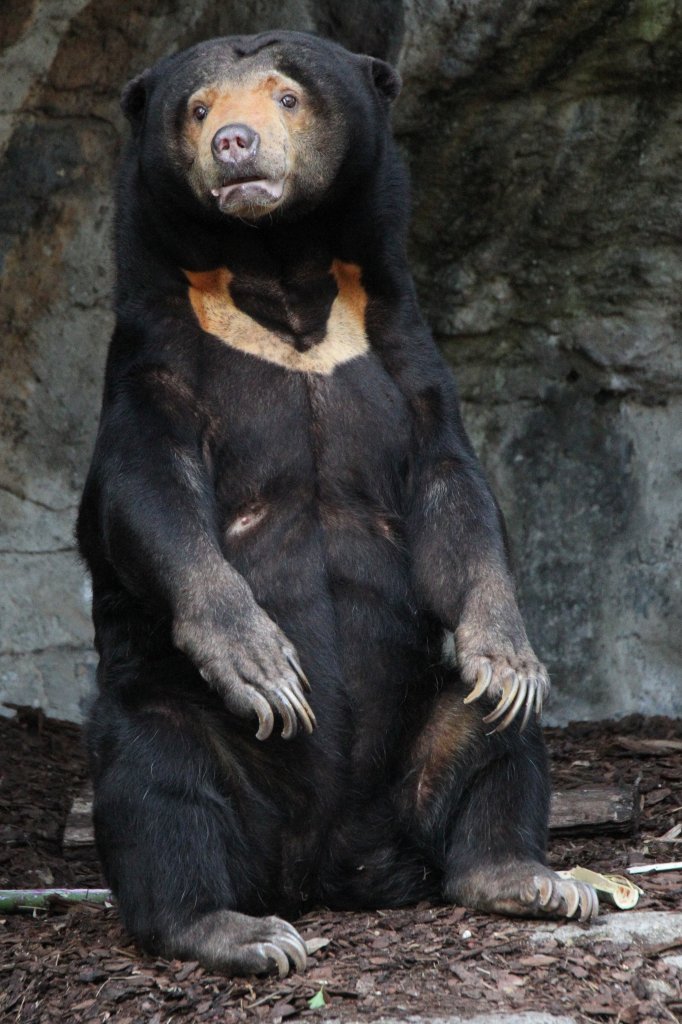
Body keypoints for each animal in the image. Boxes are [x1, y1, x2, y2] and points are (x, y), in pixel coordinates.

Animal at [75, 29, 593, 974]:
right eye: (198, 107)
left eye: (286, 96)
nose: (233, 145)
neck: (279, 272)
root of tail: (329, 865)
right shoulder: (157, 349)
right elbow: (148, 491)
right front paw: (263, 662)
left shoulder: (397, 342)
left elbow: (451, 485)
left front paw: (507, 652)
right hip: (183, 720)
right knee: (158, 775)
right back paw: (233, 929)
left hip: (419, 738)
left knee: (494, 732)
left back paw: (527, 875)